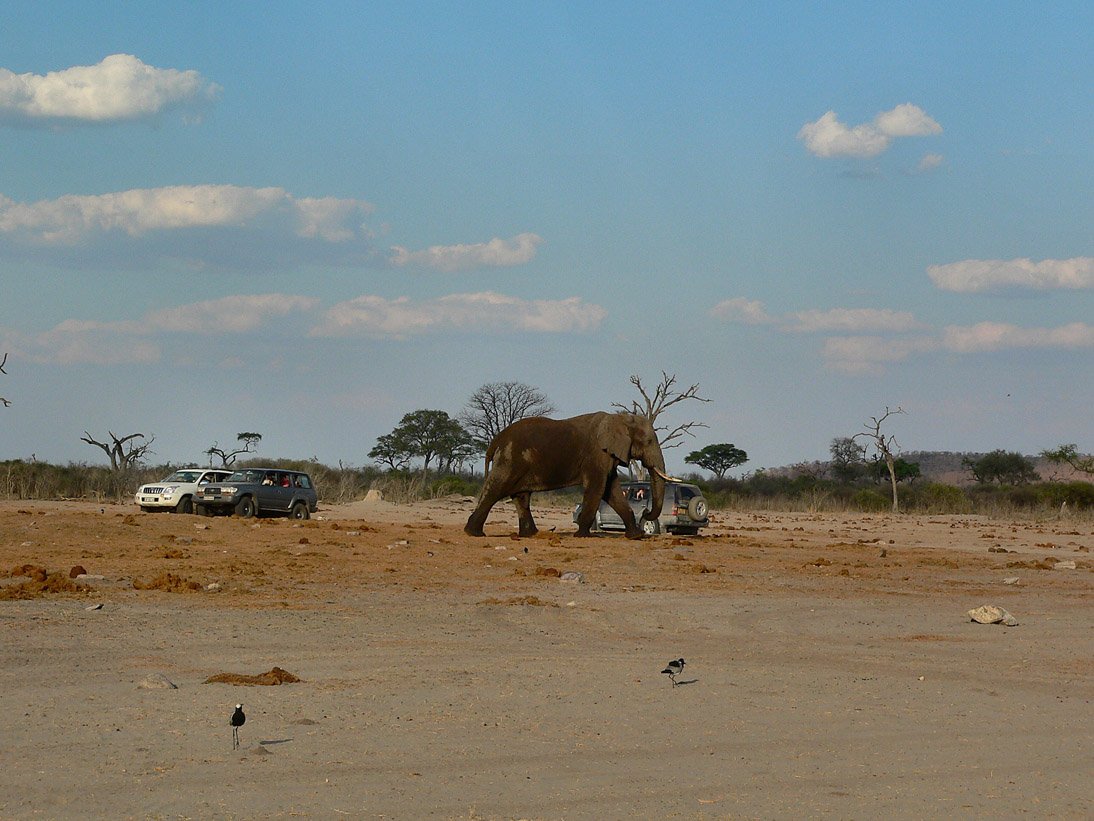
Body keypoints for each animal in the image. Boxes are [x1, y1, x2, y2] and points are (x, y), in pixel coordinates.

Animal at [461, 411, 665, 540]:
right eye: (649, 441)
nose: (645, 511)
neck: (621, 418)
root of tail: (495, 441)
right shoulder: (596, 454)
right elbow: (597, 487)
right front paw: (582, 535)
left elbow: (611, 490)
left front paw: (636, 536)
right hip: (509, 459)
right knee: (497, 488)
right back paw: (473, 533)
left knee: (521, 496)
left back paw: (531, 535)